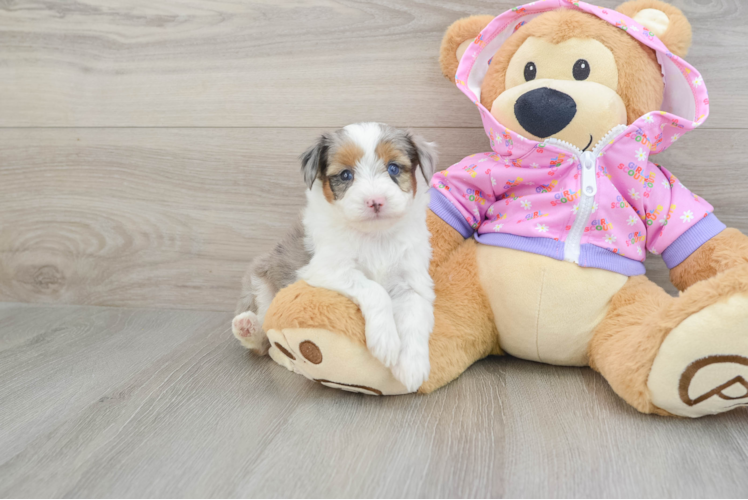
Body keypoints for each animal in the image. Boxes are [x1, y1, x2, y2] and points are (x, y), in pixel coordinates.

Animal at [234, 124, 438, 390]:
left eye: (393, 168)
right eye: (345, 175)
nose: (375, 201)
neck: (376, 237)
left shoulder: (412, 281)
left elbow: (414, 318)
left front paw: (412, 367)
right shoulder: (327, 268)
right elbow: (375, 290)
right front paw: (386, 341)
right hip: (260, 280)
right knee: (262, 341)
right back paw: (247, 327)